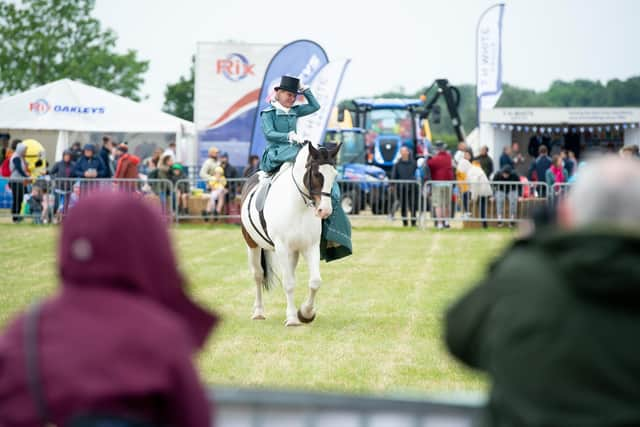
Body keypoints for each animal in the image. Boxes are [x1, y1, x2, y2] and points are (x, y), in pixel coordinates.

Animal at [240, 142, 342, 326]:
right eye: (316, 174)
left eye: (335, 174)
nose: (325, 211)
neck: (298, 206)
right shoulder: (282, 248)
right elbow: (288, 283)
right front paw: (293, 319)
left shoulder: (310, 247)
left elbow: (315, 281)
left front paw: (306, 313)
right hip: (252, 244)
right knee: (258, 275)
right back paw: (258, 312)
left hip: (293, 252)